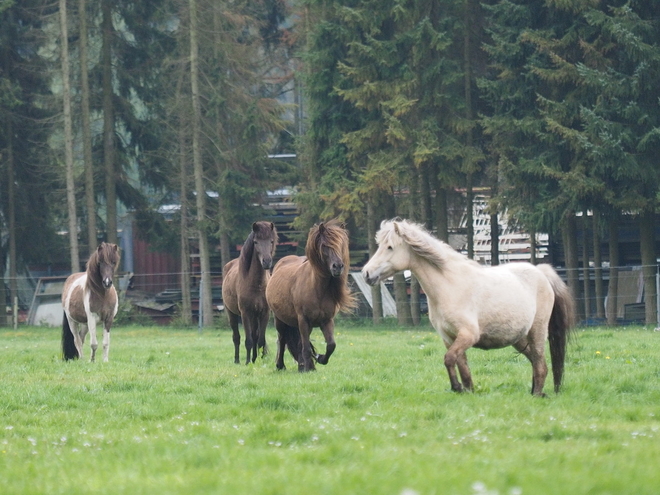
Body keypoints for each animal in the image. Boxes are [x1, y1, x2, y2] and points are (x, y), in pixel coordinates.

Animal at [220, 221, 274, 364]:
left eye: (271, 241)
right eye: (256, 242)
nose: (267, 261)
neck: (257, 285)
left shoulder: (264, 313)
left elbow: (260, 340)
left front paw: (260, 361)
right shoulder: (245, 313)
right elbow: (248, 340)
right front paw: (248, 362)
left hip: (254, 317)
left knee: (255, 335)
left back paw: (254, 358)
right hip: (232, 314)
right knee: (236, 337)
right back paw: (237, 360)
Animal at [266, 221, 356, 372]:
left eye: (341, 245)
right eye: (324, 245)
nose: (338, 266)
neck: (317, 290)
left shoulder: (327, 321)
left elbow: (331, 345)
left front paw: (319, 358)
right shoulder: (303, 320)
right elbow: (306, 348)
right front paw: (309, 368)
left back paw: (302, 365)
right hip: (280, 320)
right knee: (282, 339)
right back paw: (281, 365)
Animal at [360, 219, 572, 398]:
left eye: (390, 247)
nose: (366, 274)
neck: (449, 285)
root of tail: (541, 272)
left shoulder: (468, 335)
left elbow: (449, 359)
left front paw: (457, 387)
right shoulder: (449, 338)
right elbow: (461, 365)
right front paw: (467, 390)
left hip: (537, 332)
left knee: (540, 364)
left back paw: (536, 394)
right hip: (519, 339)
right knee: (536, 362)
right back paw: (535, 391)